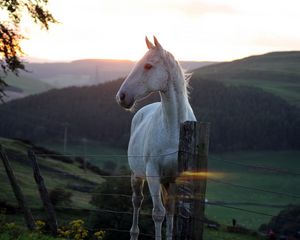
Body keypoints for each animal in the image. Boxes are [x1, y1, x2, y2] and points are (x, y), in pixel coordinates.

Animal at [116, 36, 196, 239]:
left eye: (148, 66)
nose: (121, 96)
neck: (174, 129)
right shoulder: (152, 173)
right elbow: (158, 214)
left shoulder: (176, 178)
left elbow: (171, 213)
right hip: (137, 176)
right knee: (137, 201)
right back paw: (134, 233)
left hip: (166, 181)